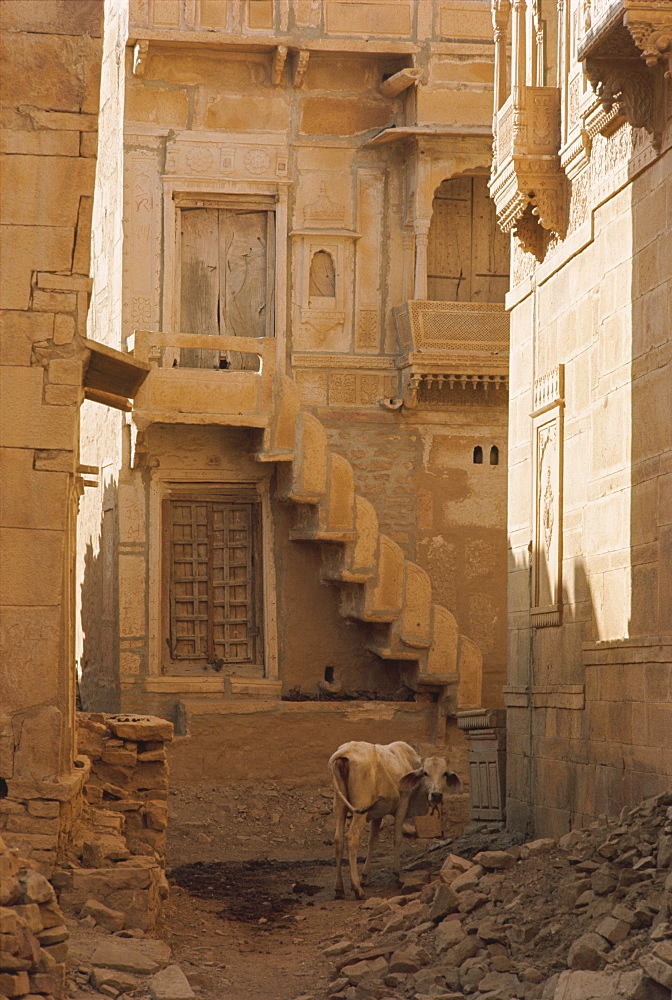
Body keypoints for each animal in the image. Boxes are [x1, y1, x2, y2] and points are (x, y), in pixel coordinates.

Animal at [326, 744, 462, 900]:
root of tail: (345, 752)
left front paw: (365, 877)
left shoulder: (378, 812)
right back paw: (357, 889)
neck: (409, 762)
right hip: (360, 809)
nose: (436, 795)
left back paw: (339, 889)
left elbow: (373, 842)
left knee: (338, 840)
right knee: (351, 837)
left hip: (339, 806)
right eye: (425, 773)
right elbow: (397, 838)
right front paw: (398, 875)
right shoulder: (403, 803)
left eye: (444, 773)